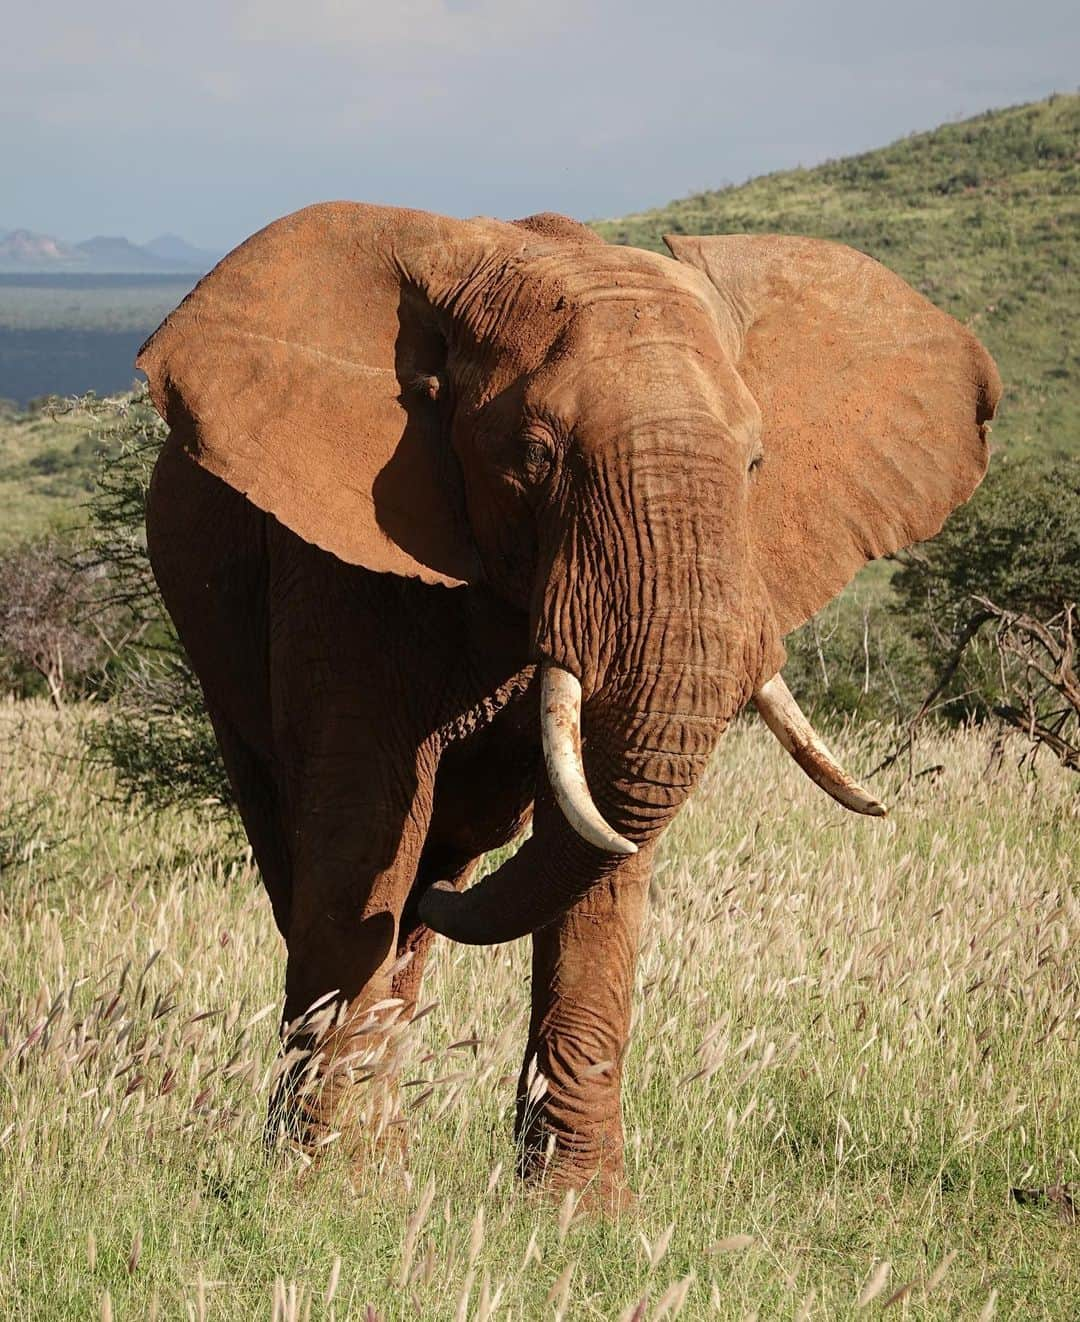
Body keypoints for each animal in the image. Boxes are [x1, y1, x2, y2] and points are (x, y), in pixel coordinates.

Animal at [138, 203, 999, 1210]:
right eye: (535, 457)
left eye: (755, 462)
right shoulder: (335, 558)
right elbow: (364, 826)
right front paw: (329, 1190)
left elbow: (597, 850)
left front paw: (576, 1212)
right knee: (317, 859)